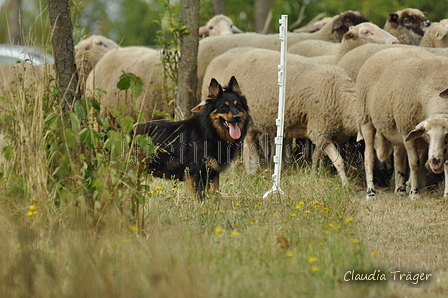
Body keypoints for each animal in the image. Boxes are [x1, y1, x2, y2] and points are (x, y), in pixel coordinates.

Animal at [214, 48, 360, 183]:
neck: (341, 97)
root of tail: (234, 61)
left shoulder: (326, 131)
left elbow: (333, 160)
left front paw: (342, 184)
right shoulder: (319, 128)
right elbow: (321, 158)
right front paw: (316, 177)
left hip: (253, 122)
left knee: (249, 143)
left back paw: (253, 171)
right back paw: (242, 172)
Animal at [356, 46, 448, 199]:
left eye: (447, 135)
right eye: (428, 134)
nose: (434, 161)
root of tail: (389, 48)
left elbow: (446, 164)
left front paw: (446, 194)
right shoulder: (406, 128)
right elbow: (414, 163)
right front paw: (415, 194)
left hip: (398, 131)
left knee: (398, 156)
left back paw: (400, 190)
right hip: (366, 117)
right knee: (369, 156)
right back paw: (371, 192)